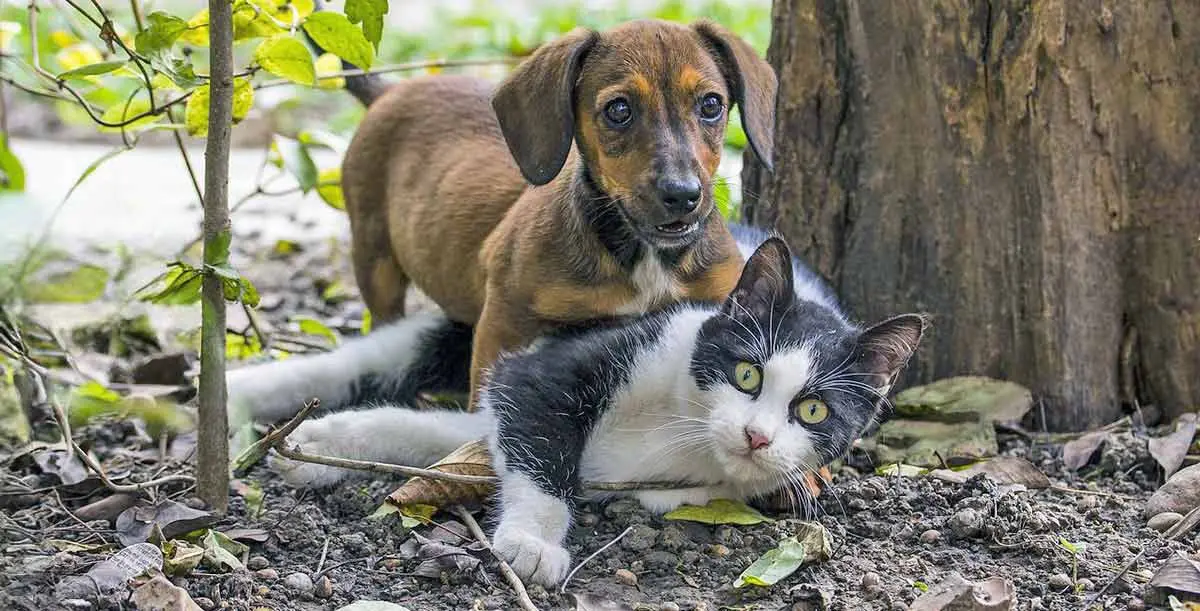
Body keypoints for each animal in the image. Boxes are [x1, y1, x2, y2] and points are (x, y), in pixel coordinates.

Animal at [225, 228, 921, 585]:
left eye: (813, 413)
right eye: (747, 373)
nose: (756, 436)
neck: (686, 426)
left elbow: (474, 434)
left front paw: (328, 444)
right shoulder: (563, 363)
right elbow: (537, 434)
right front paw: (533, 542)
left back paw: (310, 444)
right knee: (373, 359)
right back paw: (238, 398)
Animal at [333, 19, 777, 405]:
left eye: (711, 104)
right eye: (619, 110)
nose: (683, 195)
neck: (643, 256)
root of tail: (389, 92)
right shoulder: (504, 319)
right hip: (374, 258)